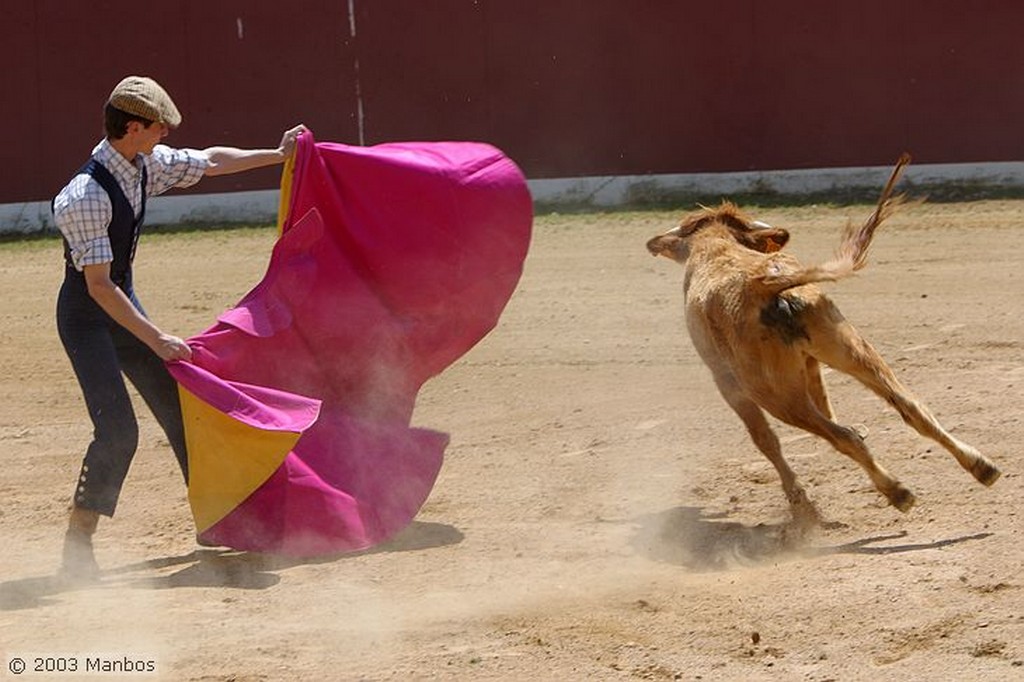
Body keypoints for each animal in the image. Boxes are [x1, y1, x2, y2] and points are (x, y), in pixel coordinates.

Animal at [647, 155, 999, 524]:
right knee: (910, 406)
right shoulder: (811, 360)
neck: (716, 250)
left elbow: (765, 439)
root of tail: (761, 285)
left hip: (776, 393)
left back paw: (896, 492)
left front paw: (800, 502)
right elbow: (827, 402)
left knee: (839, 436)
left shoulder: (728, 384)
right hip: (849, 347)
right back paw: (980, 466)